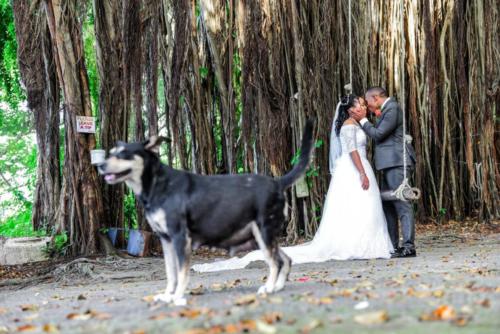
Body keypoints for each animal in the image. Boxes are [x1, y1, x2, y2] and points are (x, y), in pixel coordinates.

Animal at [98, 120, 312, 306]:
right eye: (111, 153)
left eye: (124, 154)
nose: (100, 165)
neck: (158, 184)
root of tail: (277, 182)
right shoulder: (166, 240)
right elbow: (171, 273)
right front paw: (167, 296)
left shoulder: (180, 237)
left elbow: (182, 273)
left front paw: (177, 297)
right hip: (262, 237)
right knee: (286, 259)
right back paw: (277, 287)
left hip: (264, 232)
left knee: (275, 262)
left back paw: (268, 288)